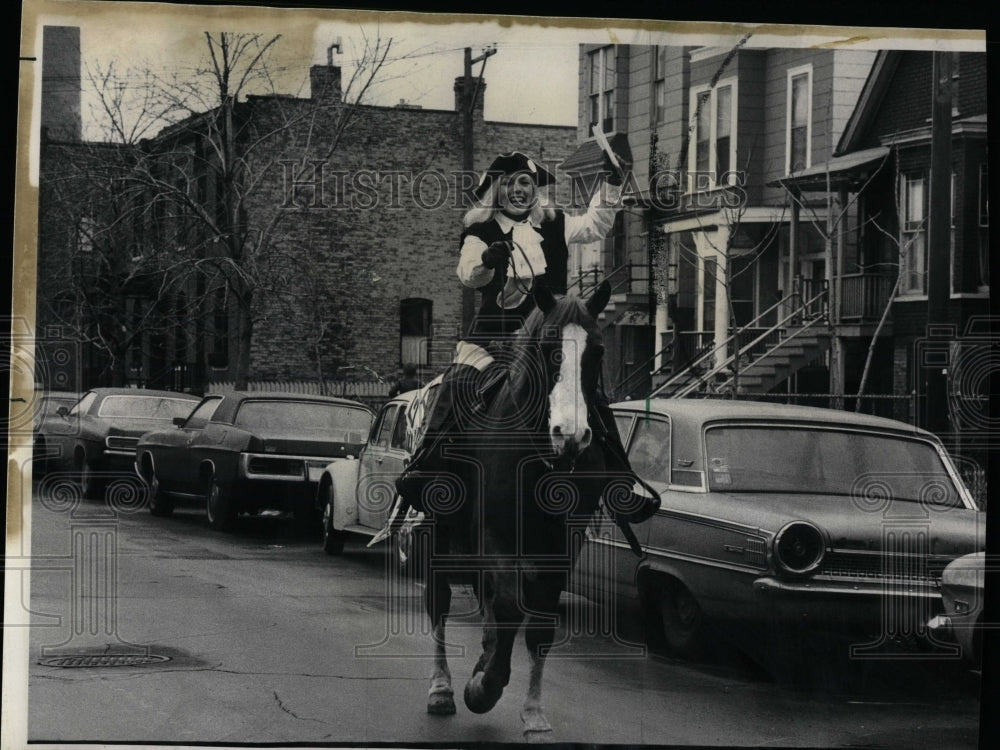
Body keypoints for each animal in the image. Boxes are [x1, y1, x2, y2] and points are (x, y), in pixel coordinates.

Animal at [416, 280, 620, 740]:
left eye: (598, 350)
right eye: (548, 347)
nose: (570, 435)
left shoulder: (563, 547)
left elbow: (538, 626)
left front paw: (534, 715)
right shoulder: (496, 536)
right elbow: (509, 608)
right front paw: (484, 687)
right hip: (440, 535)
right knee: (439, 602)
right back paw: (441, 688)